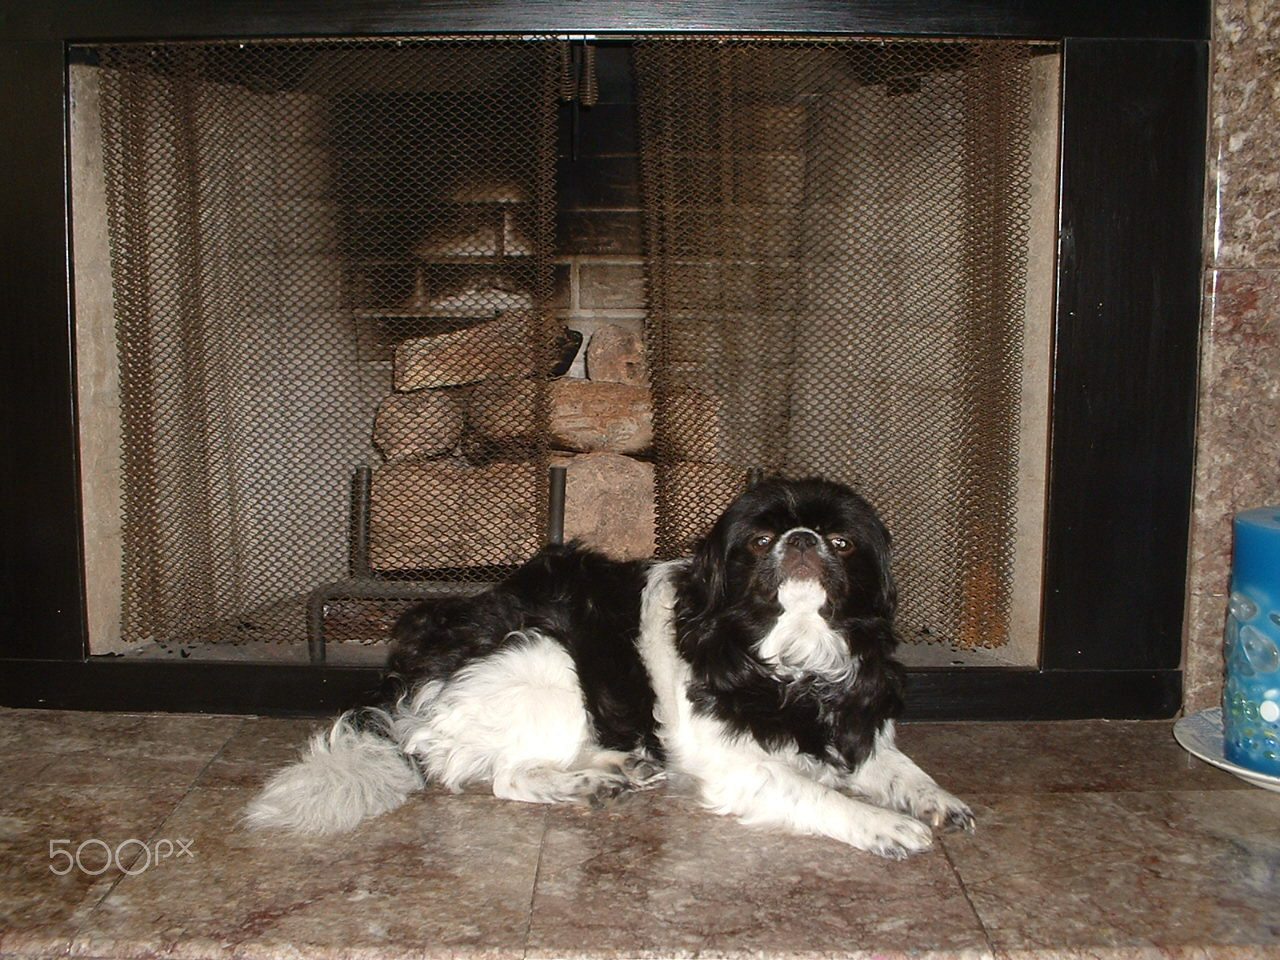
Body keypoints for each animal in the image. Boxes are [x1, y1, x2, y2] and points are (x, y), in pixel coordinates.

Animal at [247, 478, 967, 860]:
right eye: (760, 540)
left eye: (841, 542)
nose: (802, 540)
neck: (791, 663)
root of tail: (404, 681)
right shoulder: (742, 769)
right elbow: (818, 795)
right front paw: (885, 826)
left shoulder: (855, 725)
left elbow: (900, 769)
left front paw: (936, 801)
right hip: (549, 663)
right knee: (505, 776)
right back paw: (590, 784)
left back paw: (621, 769)